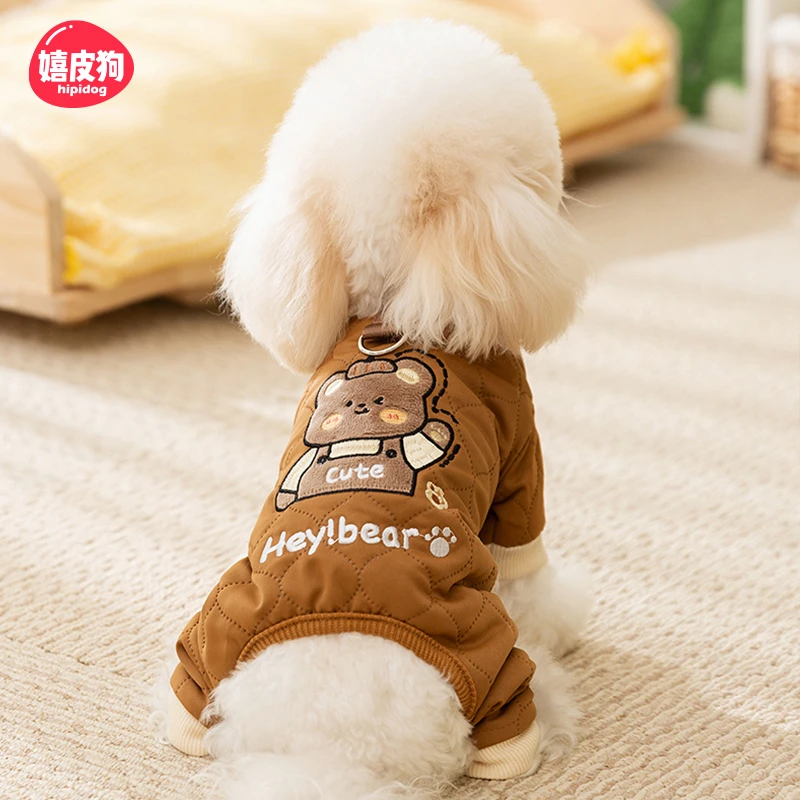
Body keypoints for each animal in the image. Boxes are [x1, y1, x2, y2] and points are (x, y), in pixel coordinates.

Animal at [275, 357, 453, 510]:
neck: (358, 440)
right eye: (348, 403)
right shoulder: (310, 456)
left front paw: (437, 431)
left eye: (380, 400)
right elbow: (296, 472)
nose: (361, 406)